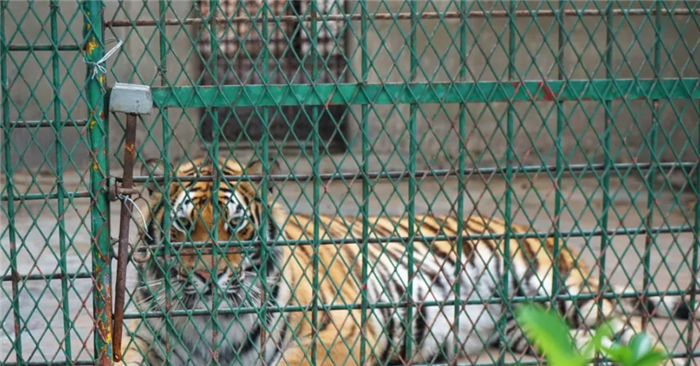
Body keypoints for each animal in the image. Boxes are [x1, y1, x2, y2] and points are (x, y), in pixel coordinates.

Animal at [116, 155, 700, 366]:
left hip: (559, 285)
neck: (209, 323)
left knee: (631, 331)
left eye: (234, 226)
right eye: (183, 227)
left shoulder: (347, 329)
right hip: (530, 327)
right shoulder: (147, 343)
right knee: (587, 344)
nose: (209, 275)